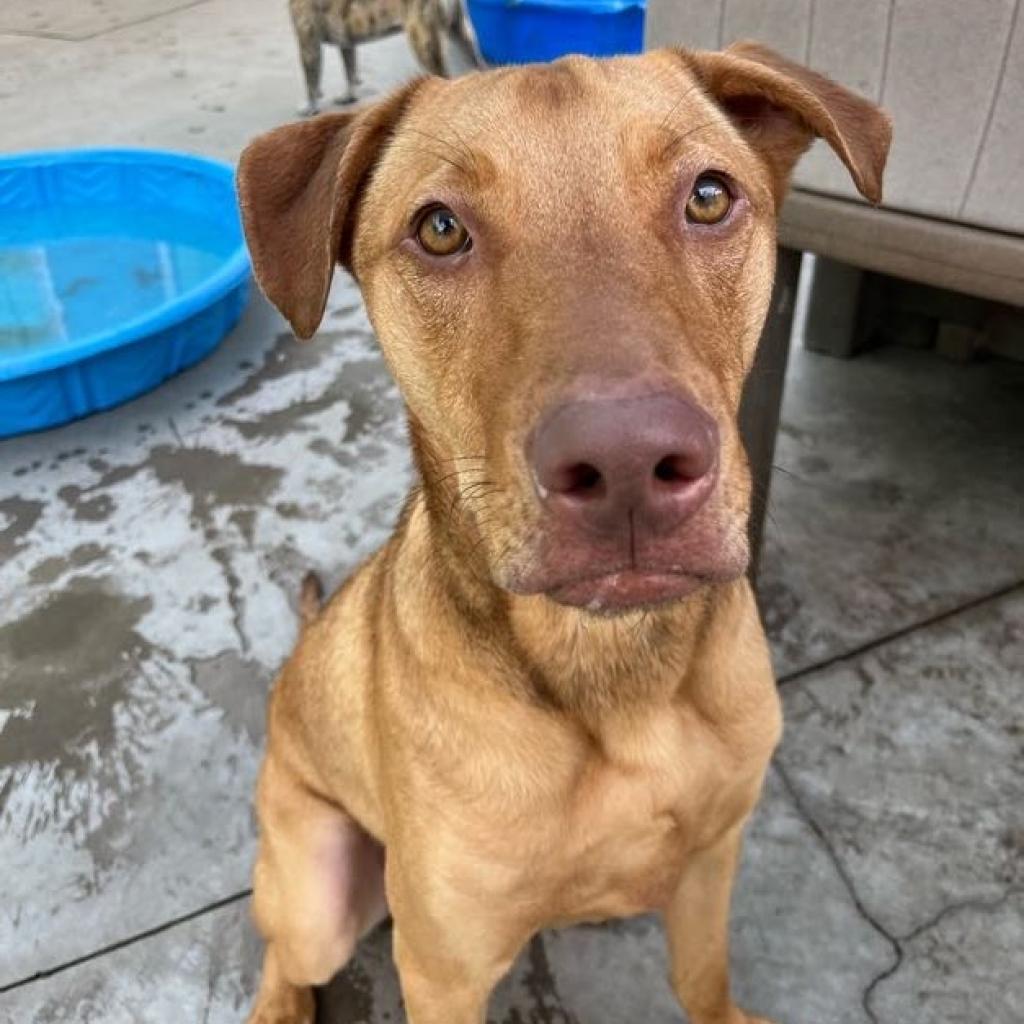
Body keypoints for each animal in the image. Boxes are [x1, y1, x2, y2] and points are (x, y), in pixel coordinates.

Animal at [237, 41, 888, 1024]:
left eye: (709, 196)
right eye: (439, 229)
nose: (628, 466)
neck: (615, 670)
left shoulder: (713, 860)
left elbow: (704, 979)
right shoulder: (444, 968)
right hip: (317, 893)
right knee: (284, 953)